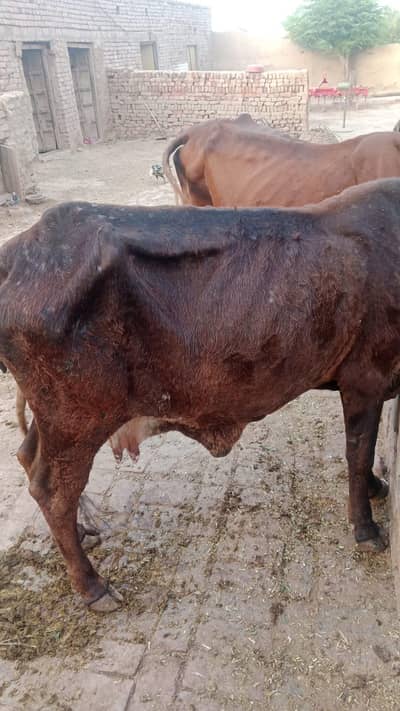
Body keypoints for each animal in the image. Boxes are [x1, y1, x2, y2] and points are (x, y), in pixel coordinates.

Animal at [1, 178, 399, 611]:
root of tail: (18, 251)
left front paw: (377, 490)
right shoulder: (366, 378)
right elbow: (359, 454)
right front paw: (366, 528)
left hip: (56, 418)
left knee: (28, 457)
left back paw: (83, 532)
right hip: (78, 420)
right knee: (52, 491)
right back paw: (93, 586)